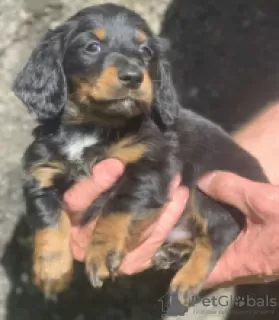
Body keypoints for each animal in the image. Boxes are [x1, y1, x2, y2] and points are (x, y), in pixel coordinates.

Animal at [12, 3, 270, 308]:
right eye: (92, 47)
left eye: (146, 51)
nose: (133, 76)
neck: (93, 126)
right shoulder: (42, 172)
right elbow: (48, 220)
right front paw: (51, 271)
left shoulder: (148, 164)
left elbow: (117, 206)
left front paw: (101, 252)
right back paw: (176, 252)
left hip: (206, 186)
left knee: (221, 232)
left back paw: (186, 280)